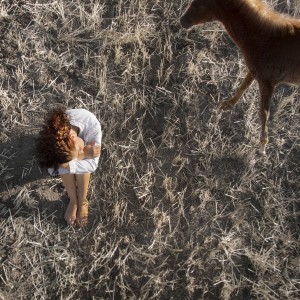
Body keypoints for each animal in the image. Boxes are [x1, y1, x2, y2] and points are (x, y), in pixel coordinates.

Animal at [180, 0, 300, 154]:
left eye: (197, 5)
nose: (182, 21)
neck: (267, 40)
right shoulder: (254, 72)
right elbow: (243, 87)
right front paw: (226, 104)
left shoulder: (267, 82)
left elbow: (264, 113)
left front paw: (262, 146)